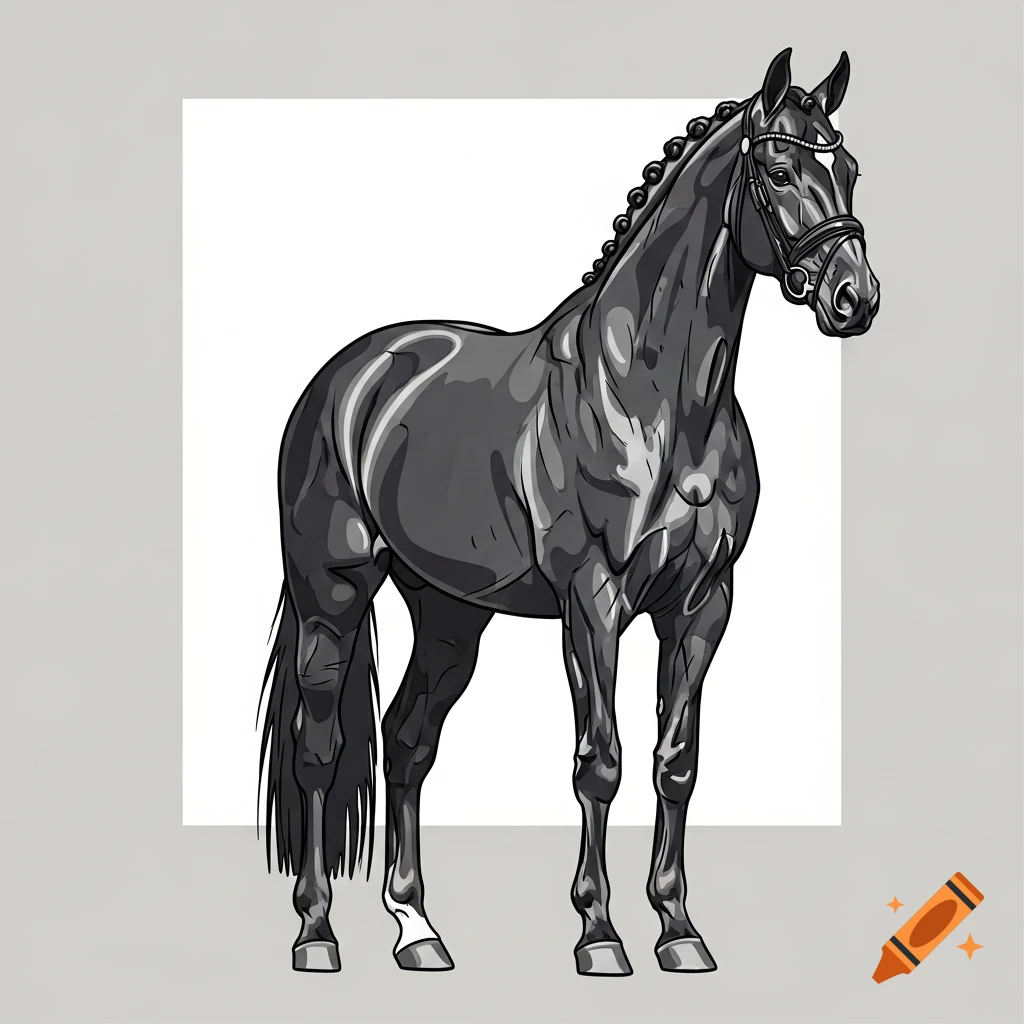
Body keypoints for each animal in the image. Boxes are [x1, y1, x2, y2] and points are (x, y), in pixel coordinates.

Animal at [257, 48, 880, 977]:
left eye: (850, 169)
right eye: (776, 169)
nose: (855, 298)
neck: (655, 399)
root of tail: (348, 376)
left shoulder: (703, 606)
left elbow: (676, 763)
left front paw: (680, 931)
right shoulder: (594, 602)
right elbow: (601, 762)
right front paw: (600, 934)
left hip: (450, 615)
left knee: (407, 743)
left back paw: (418, 930)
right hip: (332, 595)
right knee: (321, 752)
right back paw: (316, 933)